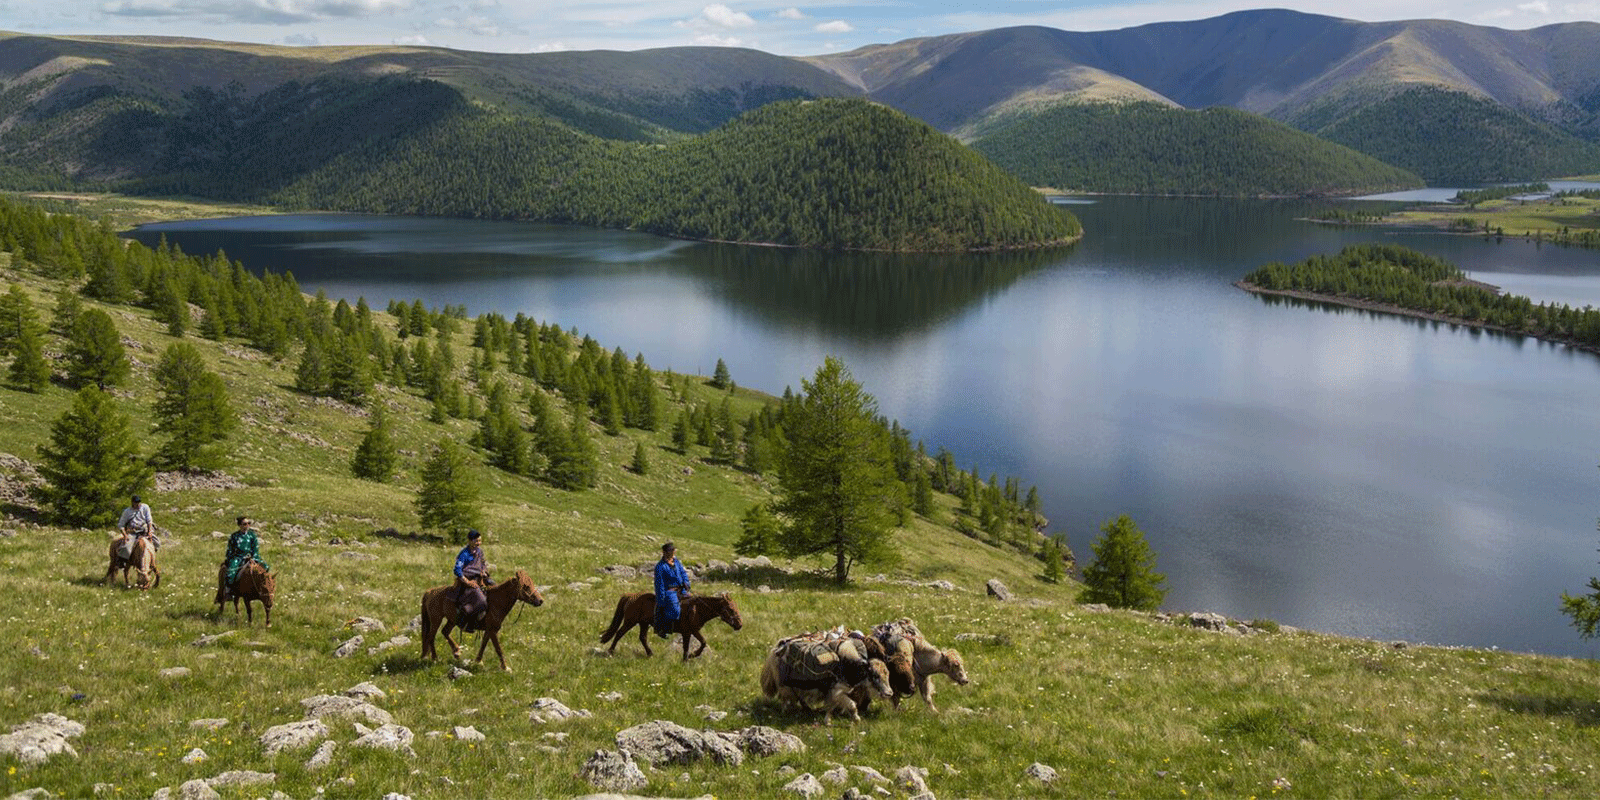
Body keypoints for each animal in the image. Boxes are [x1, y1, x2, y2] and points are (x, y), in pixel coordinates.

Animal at [598, 591, 742, 660]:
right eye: (730, 609)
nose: (739, 625)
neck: (698, 609)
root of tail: (630, 596)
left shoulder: (688, 632)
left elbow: (687, 646)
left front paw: (685, 659)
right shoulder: (692, 631)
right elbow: (702, 643)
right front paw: (692, 656)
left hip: (643, 623)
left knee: (642, 638)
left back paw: (650, 654)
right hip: (630, 622)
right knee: (619, 634)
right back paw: (610, 651)